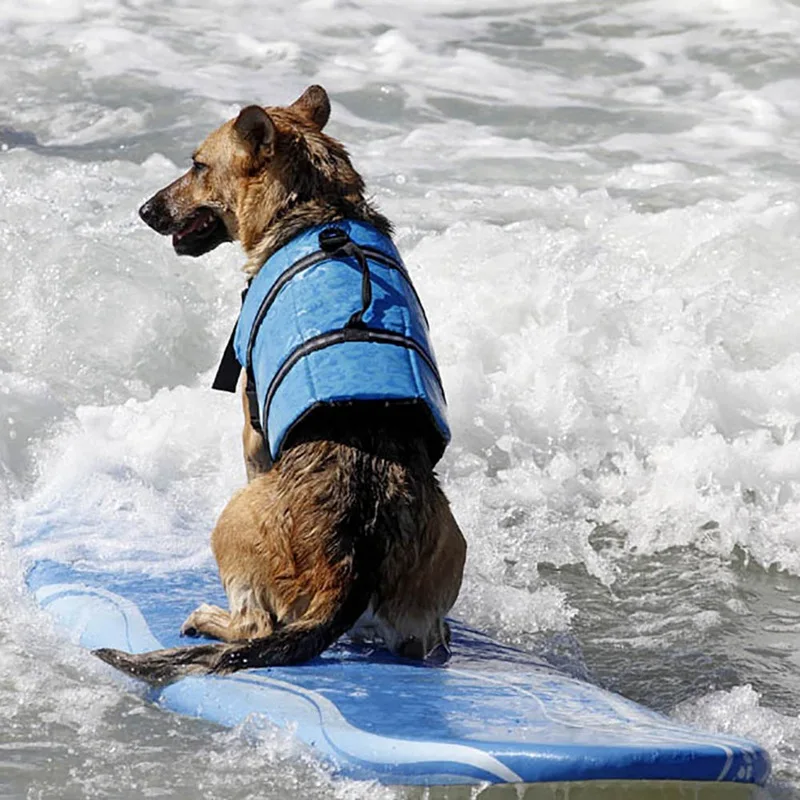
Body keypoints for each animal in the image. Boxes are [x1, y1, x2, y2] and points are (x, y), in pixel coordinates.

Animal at [94, 89, 468, 688]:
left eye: (198, 166)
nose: (146, 210)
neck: (320, 209)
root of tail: (355, 559)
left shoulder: (251, 430)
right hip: (437, 573)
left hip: (233, 518)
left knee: (254, 627)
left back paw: (209, 617)